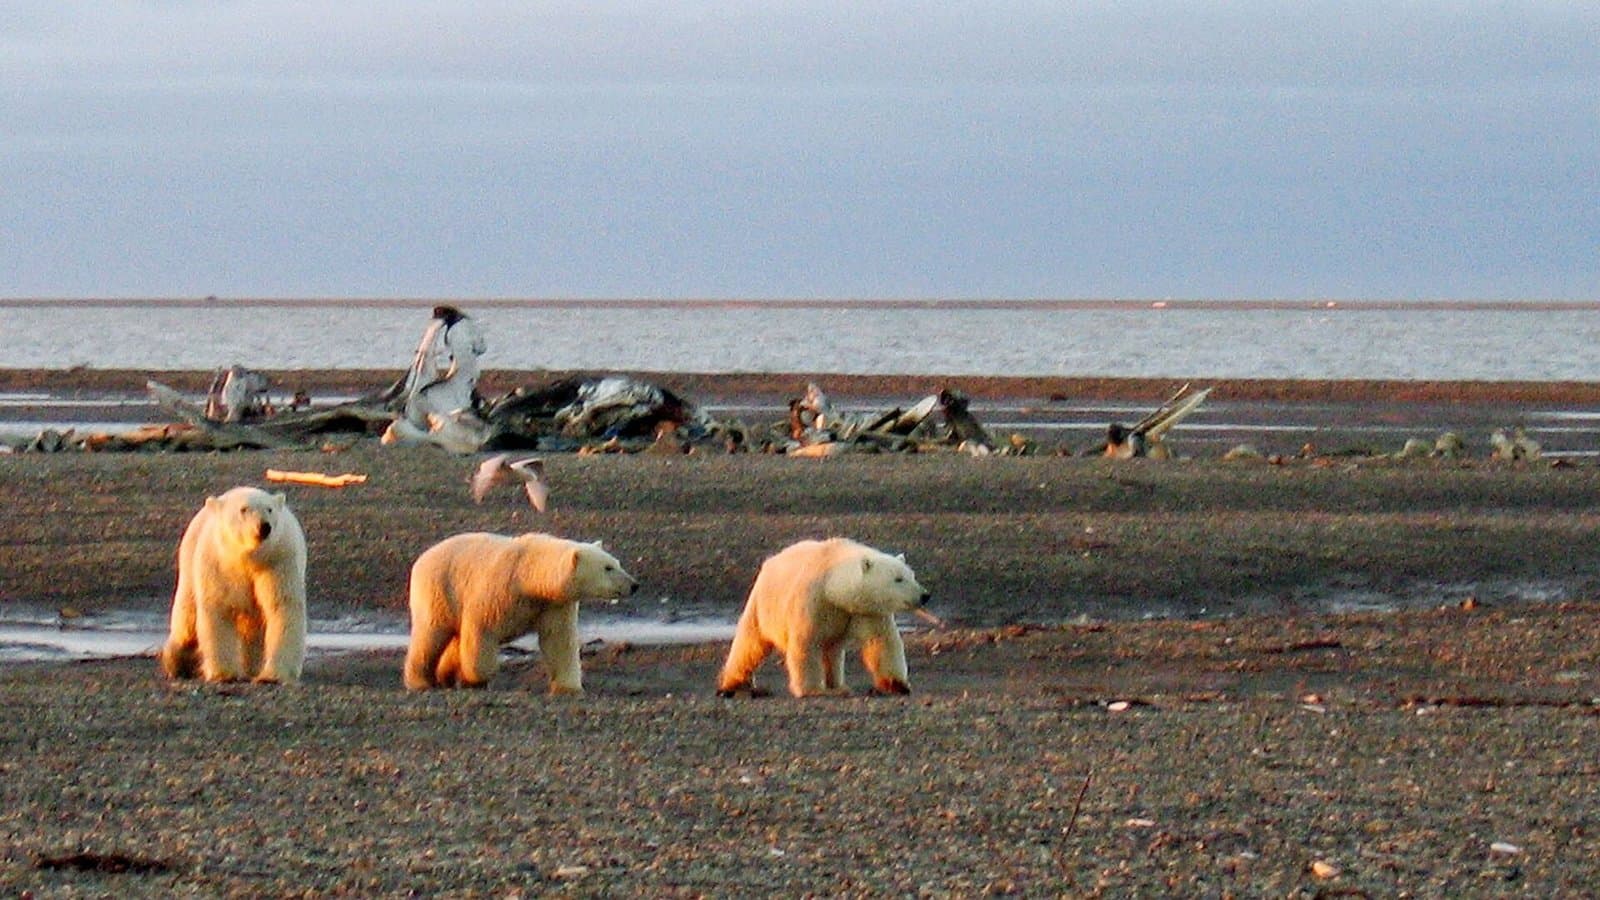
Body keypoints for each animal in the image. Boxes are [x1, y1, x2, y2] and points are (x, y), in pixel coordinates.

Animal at [159, 486, 308, 684]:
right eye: (243, 509)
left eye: (269, 509)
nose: (264, 527)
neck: (248, 557)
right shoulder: (219, 565)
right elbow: (219, 609)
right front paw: (225, 673)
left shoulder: (277, 562)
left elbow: (282, 607)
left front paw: (272, 675)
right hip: (189, 564)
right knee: (186, 622)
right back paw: (176, 663)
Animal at [404, 532, 638, 693]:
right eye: (608, 568)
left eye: (617, 562)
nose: (634, 585)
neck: (527, 575)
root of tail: (421, 558)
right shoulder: (497, 592)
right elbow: (481, 632)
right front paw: (476, 678)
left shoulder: (552, 605)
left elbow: (559, 641)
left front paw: (568, 687)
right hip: (440, 591)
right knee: (430, 635)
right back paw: (421, 681)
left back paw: (445, 675)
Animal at [717, 538, 931, 698]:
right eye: (898, 579)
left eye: (912, 575)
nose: (924, 595)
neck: (832, 583)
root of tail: (771, 561)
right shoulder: (813, 599)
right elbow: (806, 643)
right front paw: (813, 690)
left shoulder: (865, 610)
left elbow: (881, 642)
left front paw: (897, 685)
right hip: (763, 604)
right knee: (750, 643)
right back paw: (735, 685)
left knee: (832, 652)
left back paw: (838, 685)